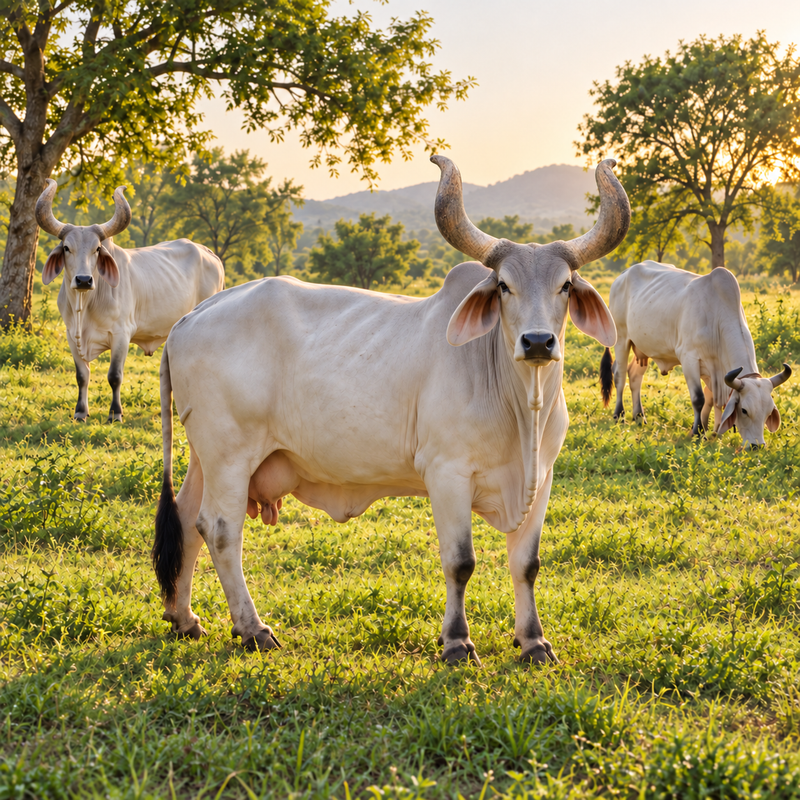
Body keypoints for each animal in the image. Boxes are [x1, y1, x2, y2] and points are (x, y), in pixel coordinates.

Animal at [35, 179, 224, 422]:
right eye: (67, 248)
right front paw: (80, 412)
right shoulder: (70, 335)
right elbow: (82, 375)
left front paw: (115, 413)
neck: (84, 306)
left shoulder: (121, 335)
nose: (84, 280)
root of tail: (209, 253)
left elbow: (114, 376)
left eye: (97, 248)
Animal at [152, 156, 630, 665]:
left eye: (565, 286)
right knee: (221, 531)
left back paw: (184, 619)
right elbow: (460, 562)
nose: (538, 342)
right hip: (229, 457)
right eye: (504, 286)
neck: (521, 408)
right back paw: (253, 628)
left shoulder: (541, 478)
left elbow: (526, 564)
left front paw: (534, 640)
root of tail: (191, 316)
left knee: (187, 522)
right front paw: (457, 642)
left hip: (205, 458)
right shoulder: (447, 474)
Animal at [600, 261, 791, 447]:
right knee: (620, 375)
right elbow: (699, 398)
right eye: (744, 410)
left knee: (634, 376)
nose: (757, 446)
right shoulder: (689, 359)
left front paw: (710, 430)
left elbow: (711, 399)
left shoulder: (714, 370)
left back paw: (639, 417)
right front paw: (698, 432)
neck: (717, 318)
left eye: (768, 412)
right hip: (621, 339)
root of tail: (623, 273)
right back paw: (619, 415)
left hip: (643, 349)